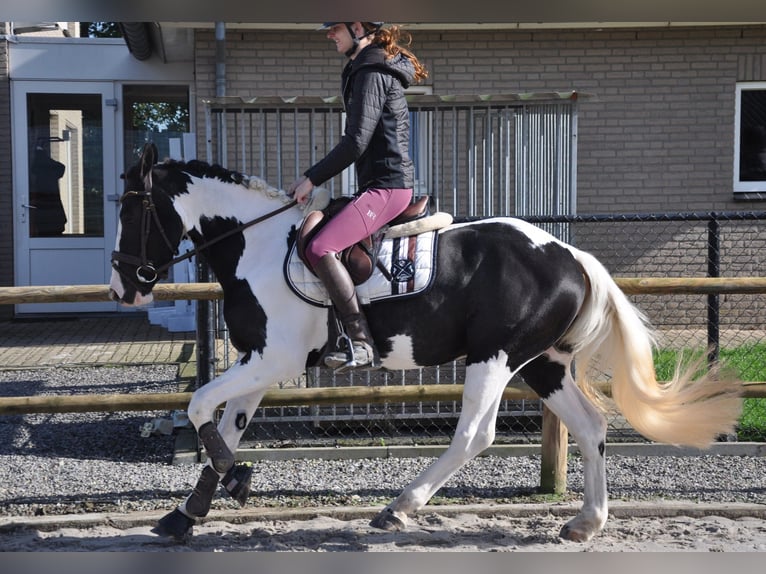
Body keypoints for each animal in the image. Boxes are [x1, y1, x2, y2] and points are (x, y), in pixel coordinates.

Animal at [108, 143, 744, 544]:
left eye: (132, 212)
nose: (123, 287)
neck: (258, 246)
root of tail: (572, 255)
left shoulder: (275, 358)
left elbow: (197, 405)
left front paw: (229, 483)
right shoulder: (255, 361)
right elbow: (223, 423)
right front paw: (187, 513)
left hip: (496, 357)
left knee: (475, 435)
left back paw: (401, 507)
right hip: (544, 365)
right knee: (590, 427)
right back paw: (587, 522)